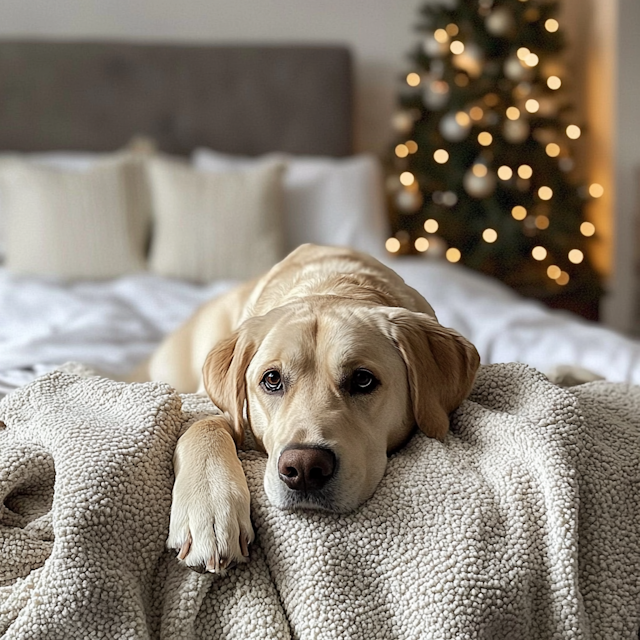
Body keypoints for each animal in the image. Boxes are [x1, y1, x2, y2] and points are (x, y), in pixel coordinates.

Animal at [146, 245, 480, 576]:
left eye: (363, 379)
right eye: (272, 379)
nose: (304, 468)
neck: (331, 283)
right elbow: (205, 423)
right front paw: (210, 513)